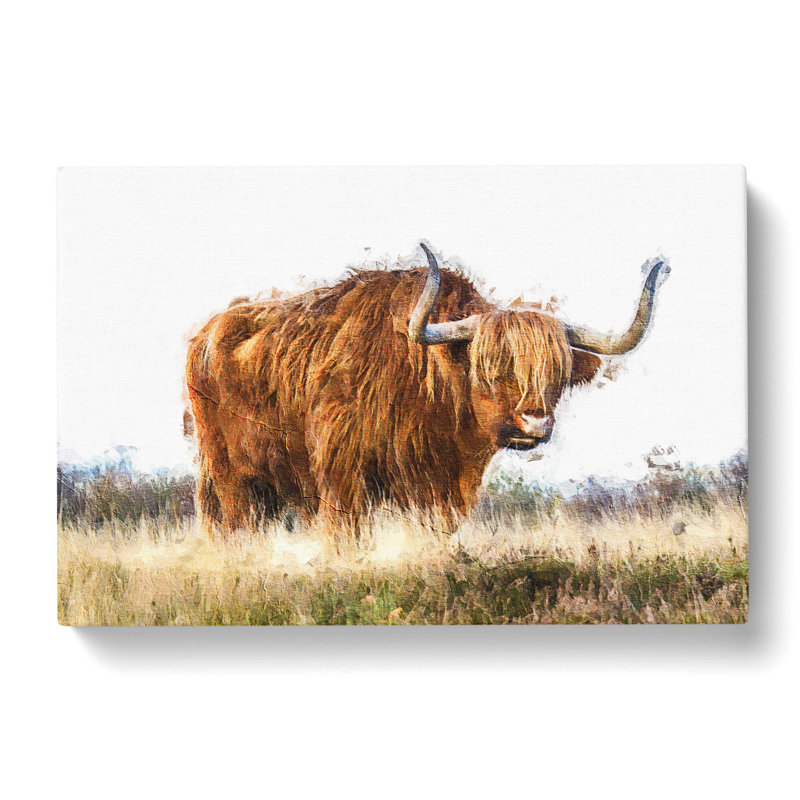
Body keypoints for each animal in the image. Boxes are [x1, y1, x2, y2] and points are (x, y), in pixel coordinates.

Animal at [186, 243, 668, 536]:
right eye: (488, 368)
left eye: (557, 373)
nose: (535, 423)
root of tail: (206, 333)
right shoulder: (342, 474)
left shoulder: (441, 489)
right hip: (229, 476)